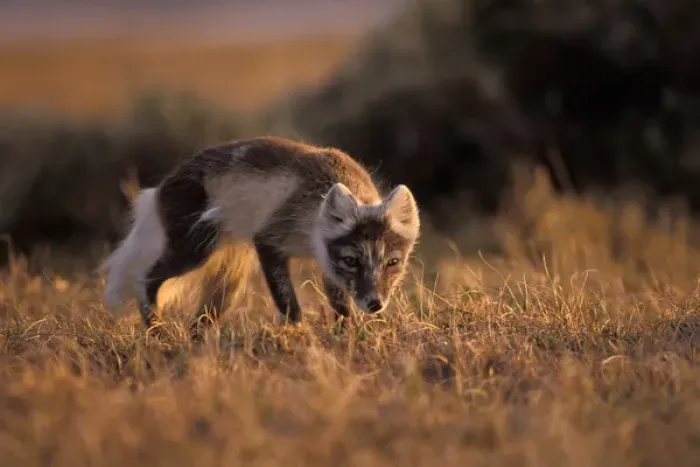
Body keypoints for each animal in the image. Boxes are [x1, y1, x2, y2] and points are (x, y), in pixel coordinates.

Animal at [101, 136, 421, 336]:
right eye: (352, 261)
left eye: (393, 262)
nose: (375, 304)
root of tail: (159, 189)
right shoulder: (269, 241)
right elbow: (288, 302)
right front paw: (297, 336)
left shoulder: (327, 263)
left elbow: (340, 305)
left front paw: (346, 337)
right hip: (196, 250)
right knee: (145, 277)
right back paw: (157, 332)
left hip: (230, 276)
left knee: (202, 317)